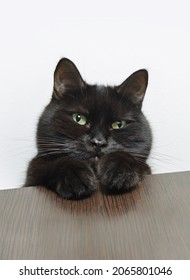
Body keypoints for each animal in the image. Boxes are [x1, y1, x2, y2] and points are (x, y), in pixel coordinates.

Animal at [23, 58, 152, 199]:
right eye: (78, 118)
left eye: (119, 124)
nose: (98, 142)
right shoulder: (34, 171)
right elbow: (55, 163)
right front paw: (74, 175)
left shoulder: (146, 169)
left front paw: (120, 169)